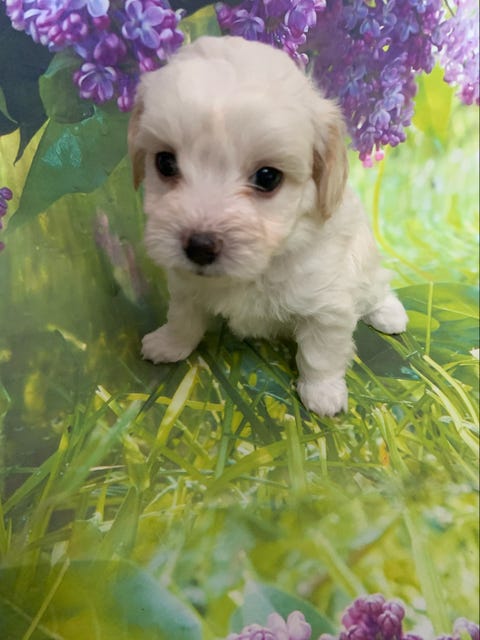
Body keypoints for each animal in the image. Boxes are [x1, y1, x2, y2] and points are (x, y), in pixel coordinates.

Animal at [128, 36, 408, 417]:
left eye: (267, 177)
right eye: (165, 163)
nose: (199, 246)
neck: (260, 265)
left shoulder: (328, 307)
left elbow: (321, 354)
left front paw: (322, 393)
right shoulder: (187, 284)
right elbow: (183, 316)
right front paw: (170, 343)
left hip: (367, 266)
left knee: (378, 287)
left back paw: (389, 314)